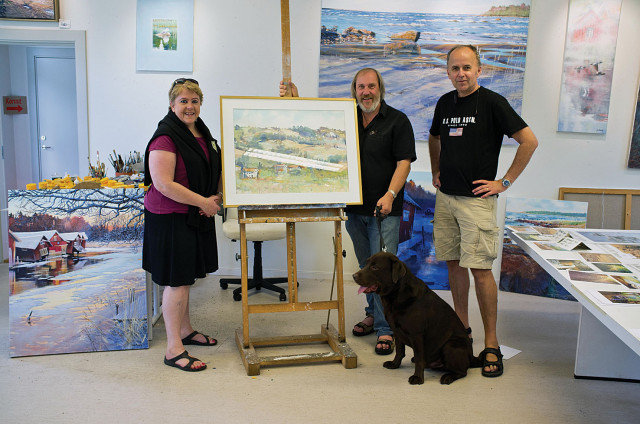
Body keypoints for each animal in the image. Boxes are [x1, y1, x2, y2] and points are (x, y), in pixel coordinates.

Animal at [356, 252, 480, 384]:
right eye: (366, 264)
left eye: (375, 267)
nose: (354, 276)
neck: (396, 296)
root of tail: (472, 357)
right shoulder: (397, 331)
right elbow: (399, 351)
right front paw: (394, 364)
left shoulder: (417, 335)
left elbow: (420, 359)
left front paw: (418, 377)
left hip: (452, 345)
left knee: (462, 372)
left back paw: (448, 377)